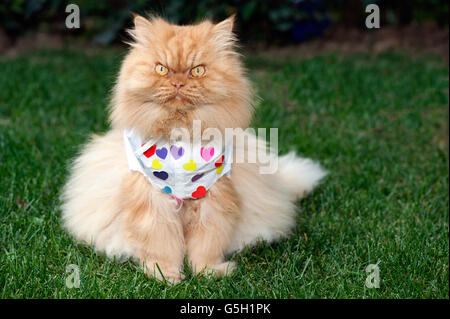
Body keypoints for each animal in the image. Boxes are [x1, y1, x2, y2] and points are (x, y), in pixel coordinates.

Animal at [60, 14, 326, 284]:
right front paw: (166, 276)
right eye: (162, 69)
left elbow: (206, 245)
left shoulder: (213, 202)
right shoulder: (154, 203)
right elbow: (162, 245)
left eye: (197, 71)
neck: (180, 141)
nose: (178, 83)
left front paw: (208, 273)